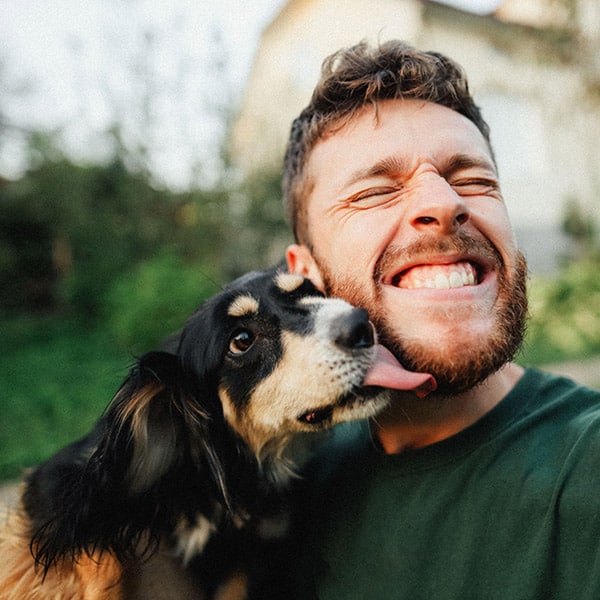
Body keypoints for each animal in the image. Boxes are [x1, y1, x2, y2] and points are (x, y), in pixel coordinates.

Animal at [0, 270, 434, 596]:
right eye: (241, 341)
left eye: (311, 292)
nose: (362, 325)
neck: (212, 481)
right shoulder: (55, 488)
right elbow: (95, 564)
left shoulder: (249, 562)